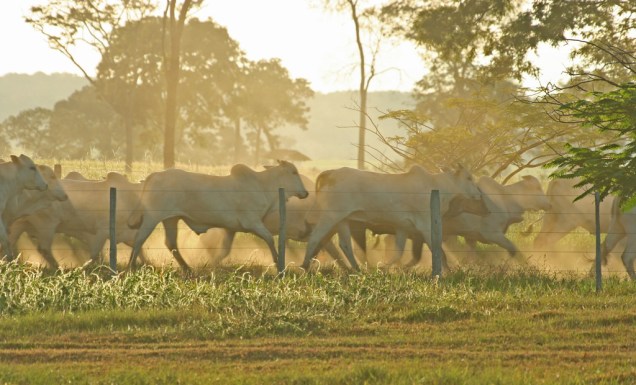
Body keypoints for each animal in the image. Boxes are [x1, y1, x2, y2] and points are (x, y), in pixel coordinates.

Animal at [9, 171, 143, 268]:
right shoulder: (101, 231)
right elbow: (94, 254)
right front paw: (85, 268)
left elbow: (138, 248)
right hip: (47, 224)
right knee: (44, 248)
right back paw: (58, 268)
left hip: (20, 224)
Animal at [126, 160, 308, 268]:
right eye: (293, 172)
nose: (305, 193)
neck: (263, 186)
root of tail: (155, 174)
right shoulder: (253, 222)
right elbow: (269, 238)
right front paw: (278, 261)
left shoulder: (231, 229)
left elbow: (224, 251)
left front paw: (212, 264)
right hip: (152, 218)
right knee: (139, 239)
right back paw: (130, 266)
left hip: (171, 219)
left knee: (171, 244)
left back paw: (187, 269)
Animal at [300, 165, 490, 270]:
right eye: (468, 177)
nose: (479, 194)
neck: (436, 186)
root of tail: (330, 173)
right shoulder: (425, 225)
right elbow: (439, 252)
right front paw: (447, 273)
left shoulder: (402, 228)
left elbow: (398, 252)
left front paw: (384, 268)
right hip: (330, 217)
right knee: (315, 237)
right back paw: (305, 266)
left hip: (343, 221)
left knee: (345, 245)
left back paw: (357, 269)